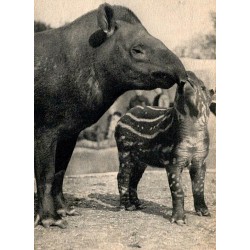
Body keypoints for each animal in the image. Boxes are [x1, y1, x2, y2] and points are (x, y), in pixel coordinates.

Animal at [115, 71, 215, 226]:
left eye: (203, 87)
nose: (188, 73)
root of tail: (122, 117)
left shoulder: (200, 160)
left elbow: (199, 187)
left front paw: (204, 212)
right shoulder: (173, 161)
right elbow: (178, 190)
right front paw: (179, 220)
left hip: (141, 159)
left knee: (134, 178)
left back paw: (138, 204)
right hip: (124, 150)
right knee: (123, 176)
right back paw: (127, 206)